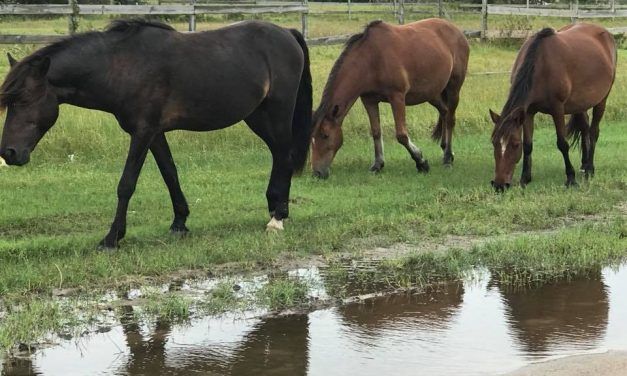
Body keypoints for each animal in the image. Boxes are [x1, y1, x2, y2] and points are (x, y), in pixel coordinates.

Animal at [0, 21, 314, 250]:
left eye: (24, 99)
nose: (9, 153)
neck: (124, 66)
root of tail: (287, 32)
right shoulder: (155, 133)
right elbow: (170, 174)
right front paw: (179, 223)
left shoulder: (143, 132)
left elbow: (126, 184)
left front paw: (112, 238)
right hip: (257, 117)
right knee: (280, 157)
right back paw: (276, 208)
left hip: (277, 113)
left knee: (284, 157)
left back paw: (277, 218)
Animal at [312, 16, 468, 177]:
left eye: (325, 135)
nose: (317, 173)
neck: (371, 59)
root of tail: (457, 31)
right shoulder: (369, 100)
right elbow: (376, 132)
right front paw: (377, 164)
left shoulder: (397, 97)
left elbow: (401, 135)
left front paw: (421, 162)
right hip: (432, 94)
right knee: (444, 111)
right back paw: (445, 149)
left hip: (453, 88)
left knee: (450, 119)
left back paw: (448, 158)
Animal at [490, 24, 620, 191]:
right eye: (494, 142)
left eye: (514, 144)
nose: (499, 185)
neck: (540, 65)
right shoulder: (528, 112)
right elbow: (528, 145)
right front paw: (525, 179)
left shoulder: (557, 109)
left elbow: (562, 144)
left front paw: (571, 178)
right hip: (580, 104)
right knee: (584, 128)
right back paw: (584, 165)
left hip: (602, 100)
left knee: (593, 132)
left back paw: (590, 169)